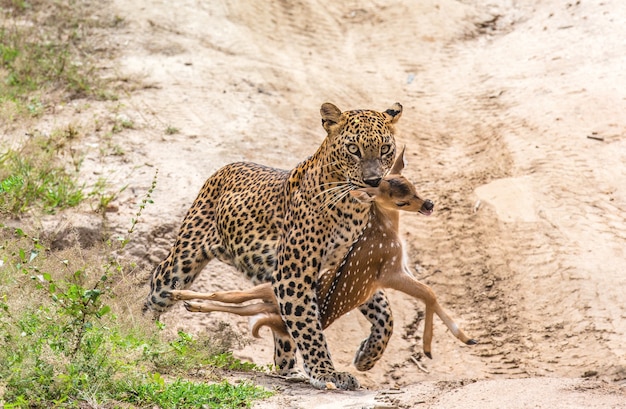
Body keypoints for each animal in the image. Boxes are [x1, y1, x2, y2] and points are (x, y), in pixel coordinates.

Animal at [144, 100, 402, 388]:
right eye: (353, 149)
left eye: (385, 149)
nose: (373, 181)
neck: (351, 207)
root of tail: (226, 167)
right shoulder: (294, 273)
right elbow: (309, 326)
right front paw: (326, 372)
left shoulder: (347, 268)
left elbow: (385, 314)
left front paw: (366, 356)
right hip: (184, 258)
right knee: (157, 289)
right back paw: (140, 331)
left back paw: (289, 370)